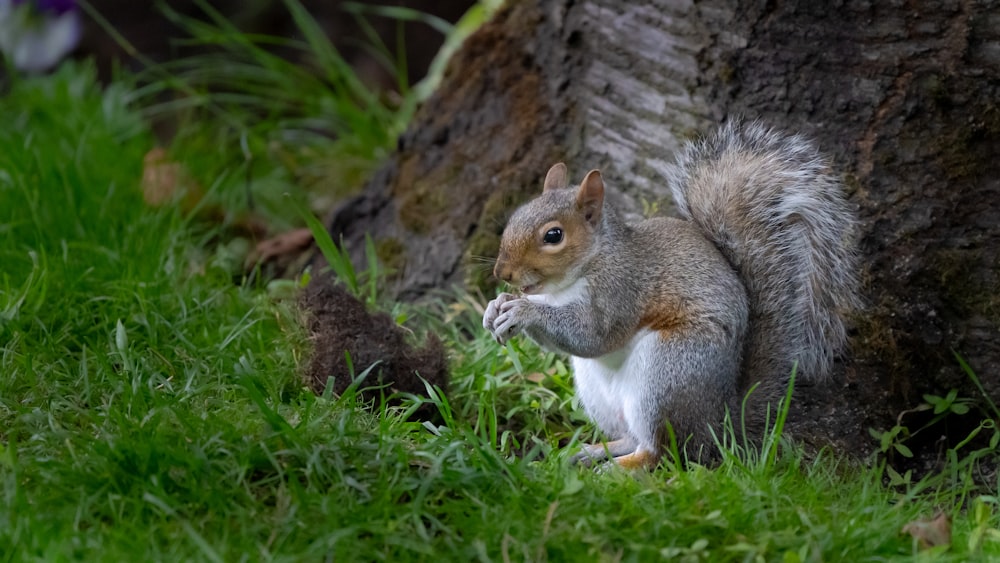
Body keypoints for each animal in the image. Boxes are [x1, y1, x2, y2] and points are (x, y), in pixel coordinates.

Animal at [482, 120, 860, 472]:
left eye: (554, 235)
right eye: (515, 216)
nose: (502, 273)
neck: (576, 276)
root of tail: (720, 423)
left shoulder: (622, 288)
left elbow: (592, 334)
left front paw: (523, 312)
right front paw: (495, 308)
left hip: (668, 373)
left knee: (664, 452)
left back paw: (617, 470)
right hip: (598, 392)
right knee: (633, 437)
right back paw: (592, 452)